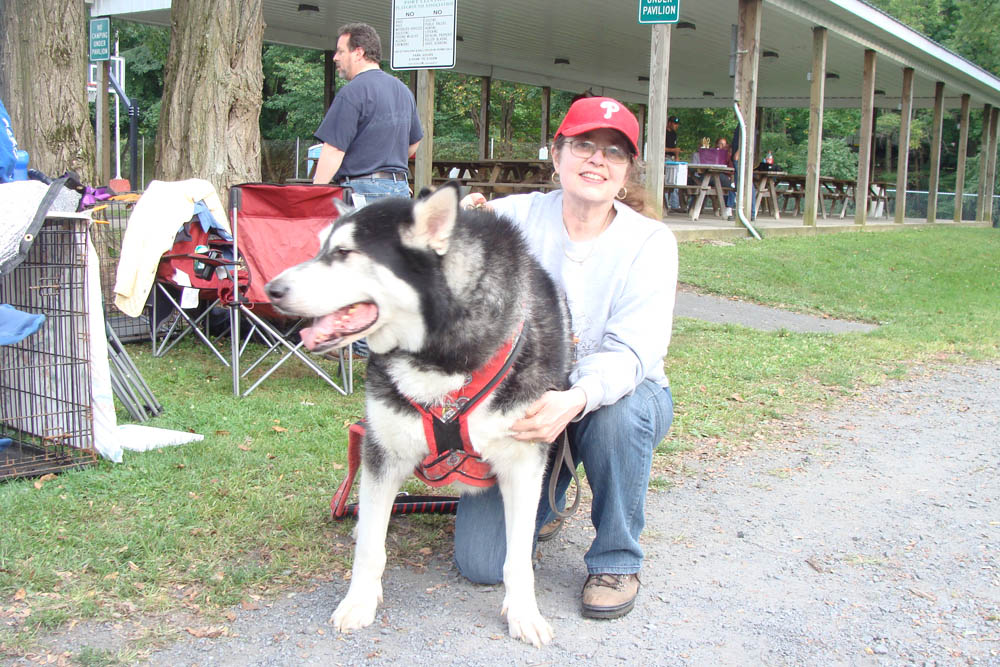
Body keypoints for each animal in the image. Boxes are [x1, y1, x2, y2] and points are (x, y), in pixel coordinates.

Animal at [266, 183, 572, 648]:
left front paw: (523, 613)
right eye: (320, 247)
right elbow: (370, 547)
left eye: (344, 251)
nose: (270, 289)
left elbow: (517, 556)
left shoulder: (524, 462)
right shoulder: (382, 450)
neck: (439, 360)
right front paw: (359, 602)